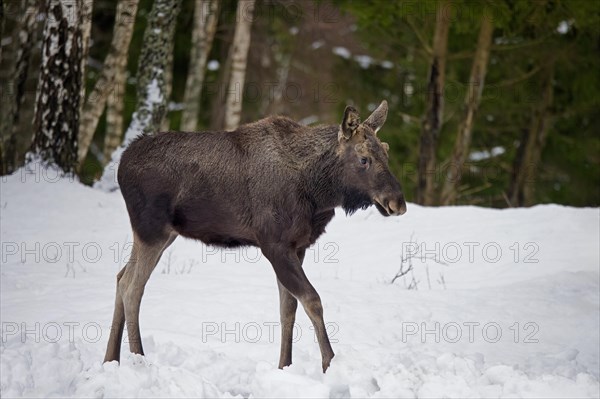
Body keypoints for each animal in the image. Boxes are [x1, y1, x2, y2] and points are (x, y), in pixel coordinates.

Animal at [105, 100, 408, 372]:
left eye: (386, 151)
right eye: (364, 158)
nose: (398, 203)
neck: (316, 191)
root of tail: (120, 165)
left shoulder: (298, 247)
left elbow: (288, 308)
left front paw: (285, 366)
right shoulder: (273, 244)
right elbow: (312, 300)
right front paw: (328, 364)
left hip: (164, 234)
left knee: (120, 277)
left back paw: (111, 360)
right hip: (151, 229)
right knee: (132, 287)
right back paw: (139, 361)